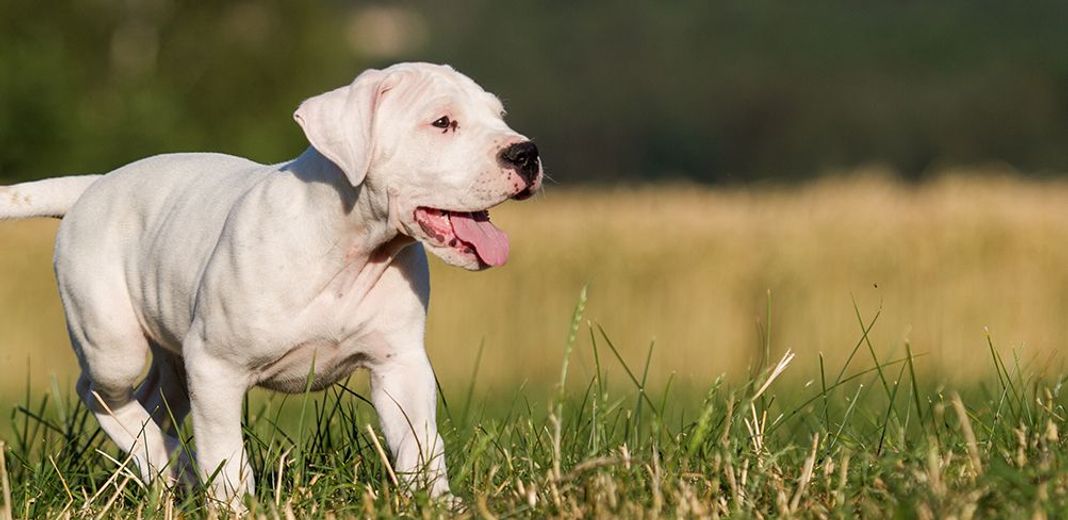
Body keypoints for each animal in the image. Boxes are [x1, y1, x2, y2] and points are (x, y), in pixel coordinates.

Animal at [0, 62, 542, 508]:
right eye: (442, 123)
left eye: (499, 115)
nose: (526, 153)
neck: (351, 247)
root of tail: (92, 185)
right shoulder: (215, 367)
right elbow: (226, 457)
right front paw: (232, 508)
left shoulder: (400, 363)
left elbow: (421, 444)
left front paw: (438, 503)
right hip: (115, 343)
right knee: (96, 392)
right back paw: (175, 463)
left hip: (173, 357)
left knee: (154, 402)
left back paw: (166, 468)